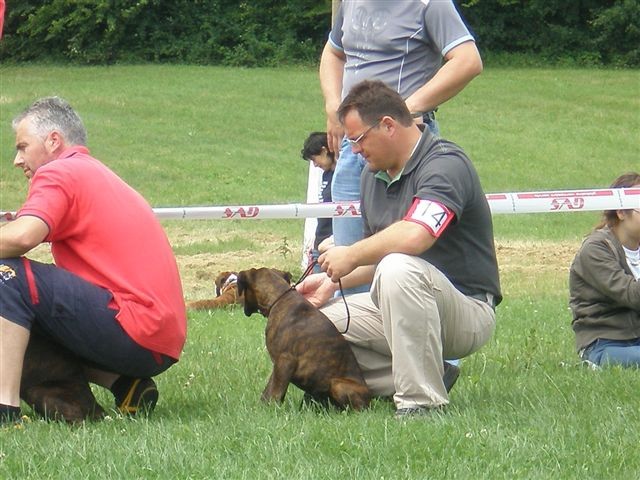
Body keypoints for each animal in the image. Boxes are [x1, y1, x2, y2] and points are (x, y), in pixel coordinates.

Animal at [238, 266, 372, 408]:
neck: (279, 298)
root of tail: (370, 400)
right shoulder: (278, 365)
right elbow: (269, 388)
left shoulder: (285, 361)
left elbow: (276, 391)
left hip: (338, 384)